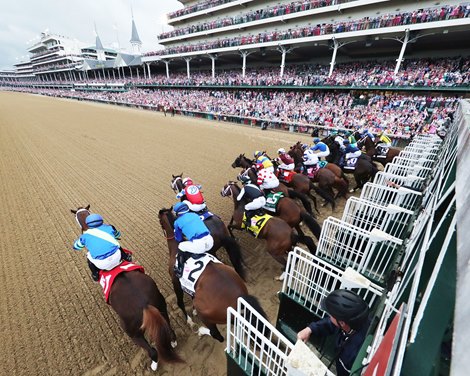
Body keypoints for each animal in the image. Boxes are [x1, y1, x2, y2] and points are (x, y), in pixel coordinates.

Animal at [70, 206, 183, 370]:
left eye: (77, 217)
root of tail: (145, 305)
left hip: (132, 330)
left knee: (151, 350)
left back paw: (153, 364)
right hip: (161, 307)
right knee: (168, 327)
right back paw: (173, 341)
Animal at [158, 207, 268, 342]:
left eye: (160, 221)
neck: (176, 248)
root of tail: (239, 297)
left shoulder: (176, 282)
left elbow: (180, 303)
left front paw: (190, 322)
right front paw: (193, 311)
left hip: (207, 315)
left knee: (217, 336)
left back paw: (201, 331)